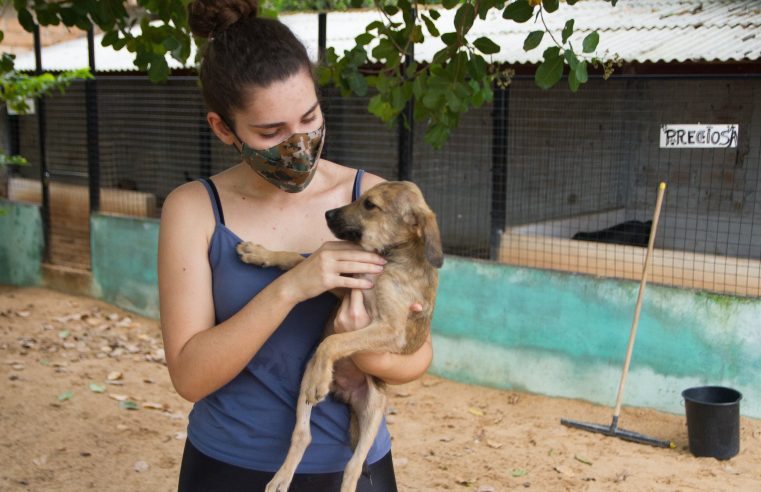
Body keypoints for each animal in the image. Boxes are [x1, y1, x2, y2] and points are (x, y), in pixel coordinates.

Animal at [235, 182, 442, 492]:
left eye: (369, 204)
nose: (327, 213)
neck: (390, 258)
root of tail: (344, 394)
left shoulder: (390, 330)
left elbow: (334, 341)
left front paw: (323, 375)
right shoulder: (345, 285)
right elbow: (296, 259)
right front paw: (262, 253)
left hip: (373, 409)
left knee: (353, 467)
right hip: (305, 382)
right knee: (303, 436)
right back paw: (282, 477)